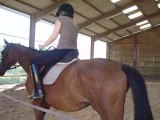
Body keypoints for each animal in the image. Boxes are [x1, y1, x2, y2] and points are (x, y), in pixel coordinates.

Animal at [0, 39, 152, 119]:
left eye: (3, 52)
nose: (1, 71)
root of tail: (120, 66)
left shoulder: (37, 103)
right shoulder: (44, 104)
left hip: (109, 111)